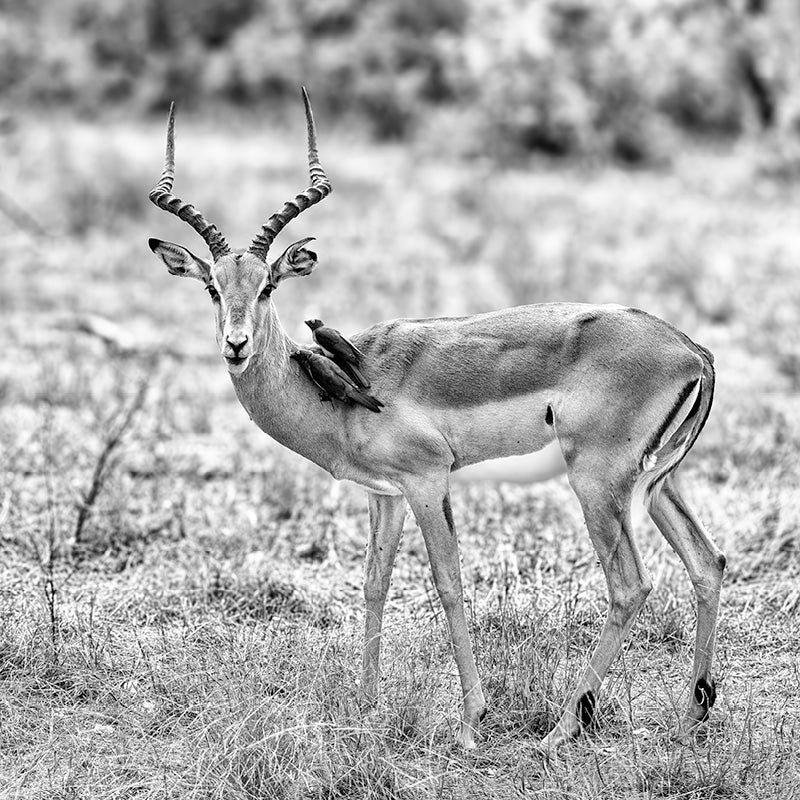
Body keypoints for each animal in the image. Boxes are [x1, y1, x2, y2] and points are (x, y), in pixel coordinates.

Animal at [147, 88, 725, 752]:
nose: (236, 345)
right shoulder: (385, 494)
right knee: (707, 562)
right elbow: (374, 582)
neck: (338, 388)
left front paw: (472, 722)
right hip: (658, 483)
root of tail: (693, 352)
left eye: (267, 285)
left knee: (629, 585)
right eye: (213, 289)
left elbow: (447, 582)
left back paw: (560, 732)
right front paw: (366, 707)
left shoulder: (427, 481)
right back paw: (690, 717)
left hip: (598, 483)